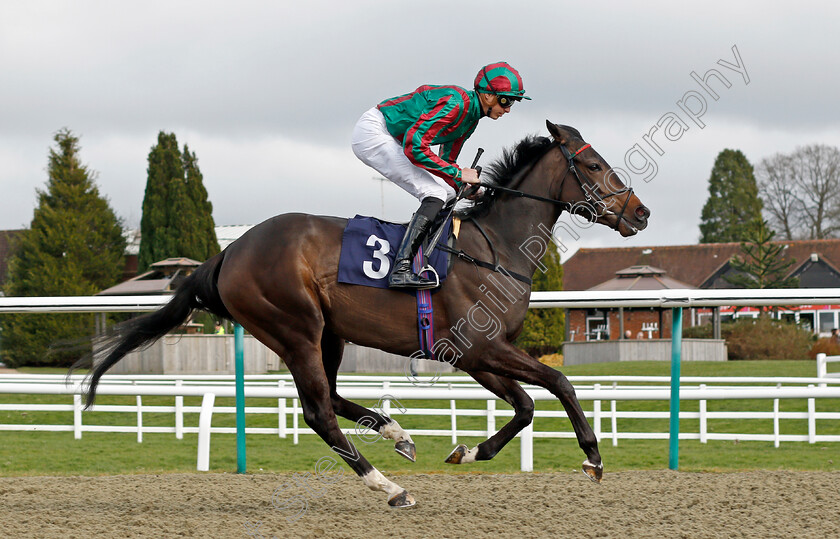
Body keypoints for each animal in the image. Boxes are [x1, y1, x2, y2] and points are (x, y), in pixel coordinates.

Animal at [77, 120, 648, 508]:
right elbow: (559, 382)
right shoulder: (482, 347)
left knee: (330, 397)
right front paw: (593, 457)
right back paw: (389, 486)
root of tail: (229, 252)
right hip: (295, 328)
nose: (640, 212)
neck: (495, 248)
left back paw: (398, 434)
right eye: (593, 166)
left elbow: (527, 405)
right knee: (319, 413)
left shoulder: (475, 356)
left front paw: (468, 452)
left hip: (329, 333)